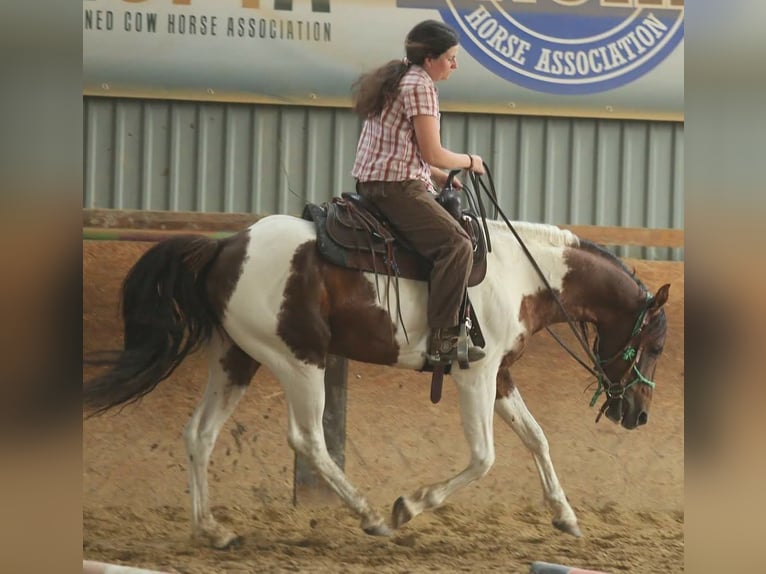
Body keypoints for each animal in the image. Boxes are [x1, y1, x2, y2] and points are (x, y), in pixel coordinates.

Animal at [83, 214, 670, 549]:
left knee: (199, 434)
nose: (640, 414)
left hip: (237, 358)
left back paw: (213, 530)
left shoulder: (500, 375)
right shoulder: (475, 375)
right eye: (659, 345)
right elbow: (485, 457)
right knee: (308, 439)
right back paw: (371, 517)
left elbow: (537, 439)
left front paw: (566, 517)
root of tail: (226, 246)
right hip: (299, 359)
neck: (521, 274)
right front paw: (409, 505)